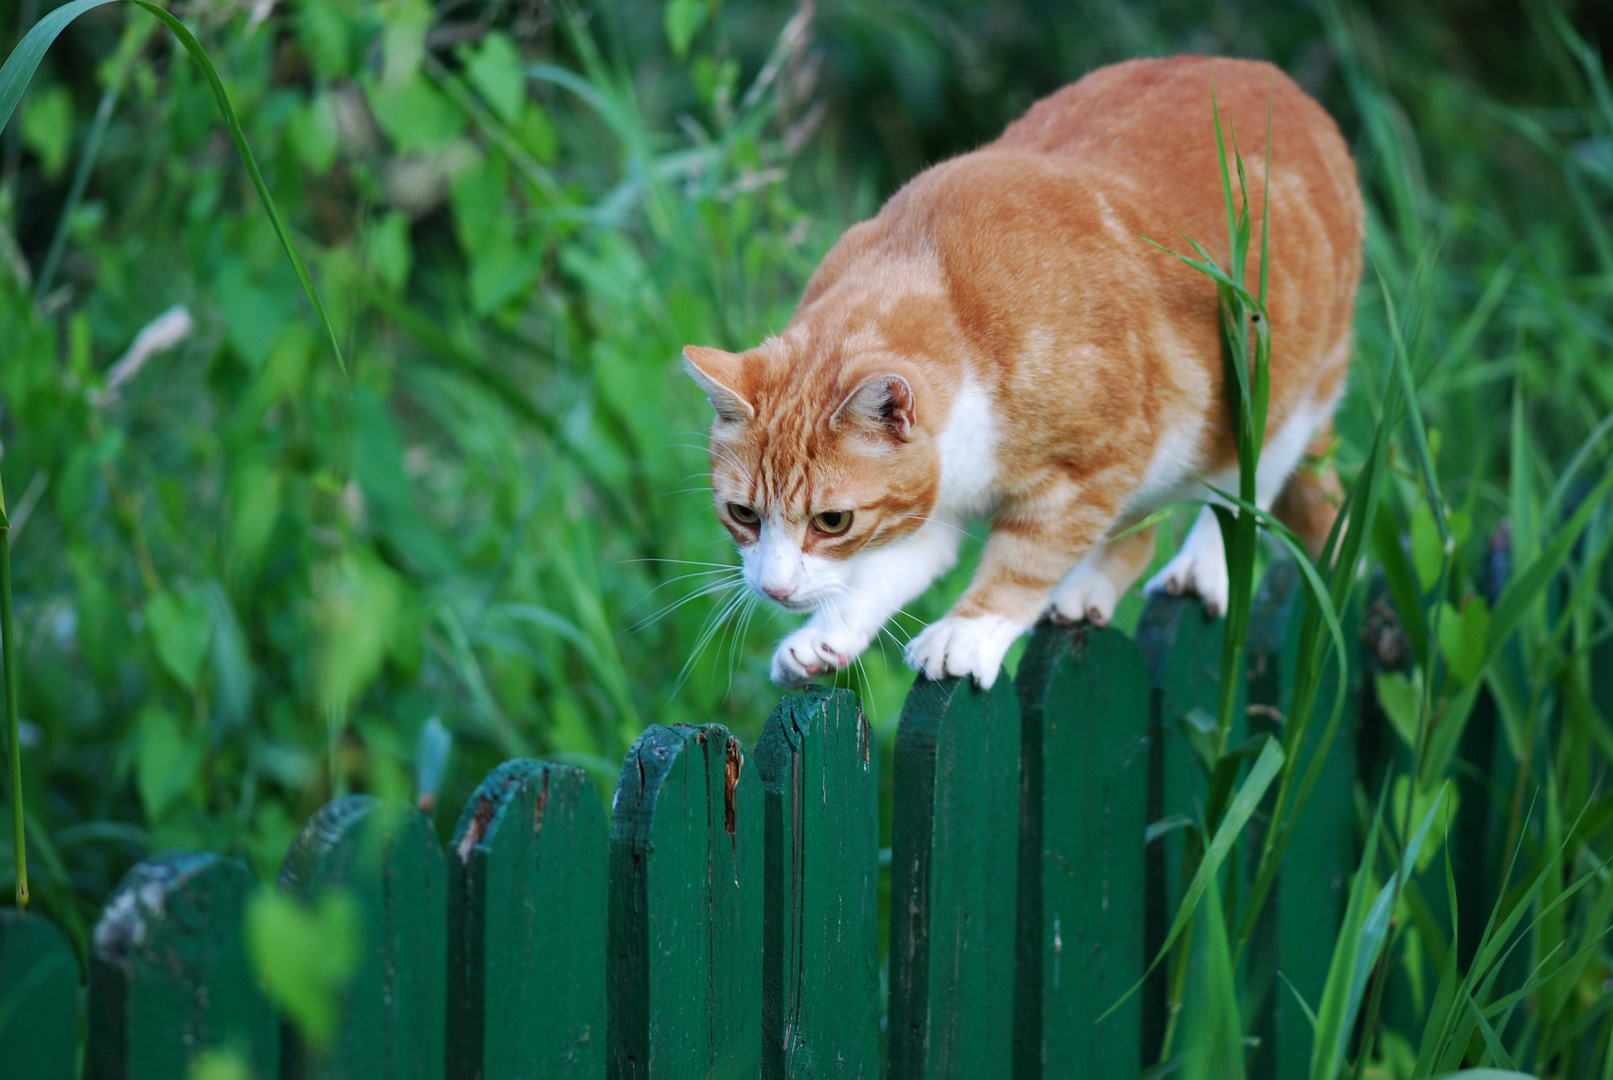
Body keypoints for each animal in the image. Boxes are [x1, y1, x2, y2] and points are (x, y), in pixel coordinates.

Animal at [680, 54, 1361, 689]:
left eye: (831, 521)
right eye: (743, 514)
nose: (774, 590)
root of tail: (1275, 80)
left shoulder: (1093, 468)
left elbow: (1025, 561)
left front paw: (966, 634)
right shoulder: (935, 499)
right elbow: (883, 573)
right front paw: (826, 636)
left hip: (1279, 401)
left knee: (1245, 497)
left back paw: (1195, 571)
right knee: (1139, 530)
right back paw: (1086, 595)